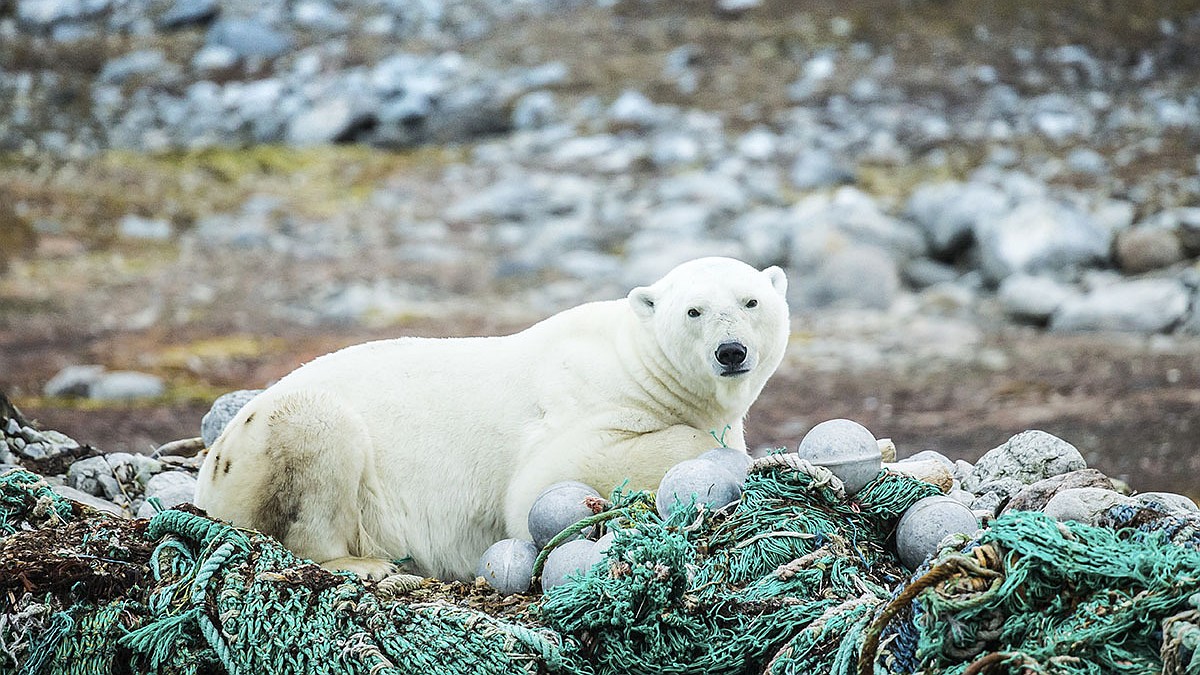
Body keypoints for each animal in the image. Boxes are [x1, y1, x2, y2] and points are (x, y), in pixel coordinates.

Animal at [194, 257, 787, 578]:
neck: (639, 362)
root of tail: (208, 473)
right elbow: (540, 484)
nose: (731, 351)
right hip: (263, 446)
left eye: (751, 301)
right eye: (693, 311)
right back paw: (363, 564)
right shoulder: (583, 401)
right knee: (313, 434)